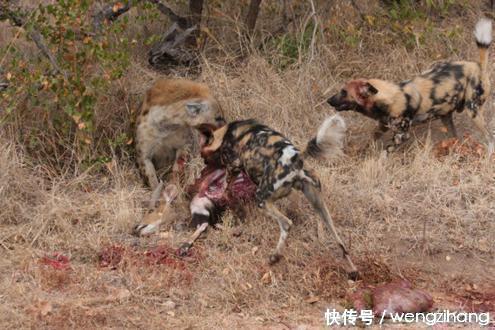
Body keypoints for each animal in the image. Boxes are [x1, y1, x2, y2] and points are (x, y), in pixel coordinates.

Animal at [187, 115, 360, 278]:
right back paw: (353, 270)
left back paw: (274, 257)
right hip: (319, 205)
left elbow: (226, 186)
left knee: (286, 223)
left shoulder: (233, 166)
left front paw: (223, 195)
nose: (203, 168)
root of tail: (296, 159)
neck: (225, 134)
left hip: (262, 199)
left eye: (204, 157)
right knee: (340, 242)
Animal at [328, 19, 494, 155]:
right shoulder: (382, 126)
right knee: (455, 137)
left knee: (489, 137)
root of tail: (478, 66)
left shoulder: (401, 135)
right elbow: (371, 141)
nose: (328, 100)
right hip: (446, 116)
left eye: (344, 92)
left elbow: (385, 152)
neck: (387, 98)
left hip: (473, 111)